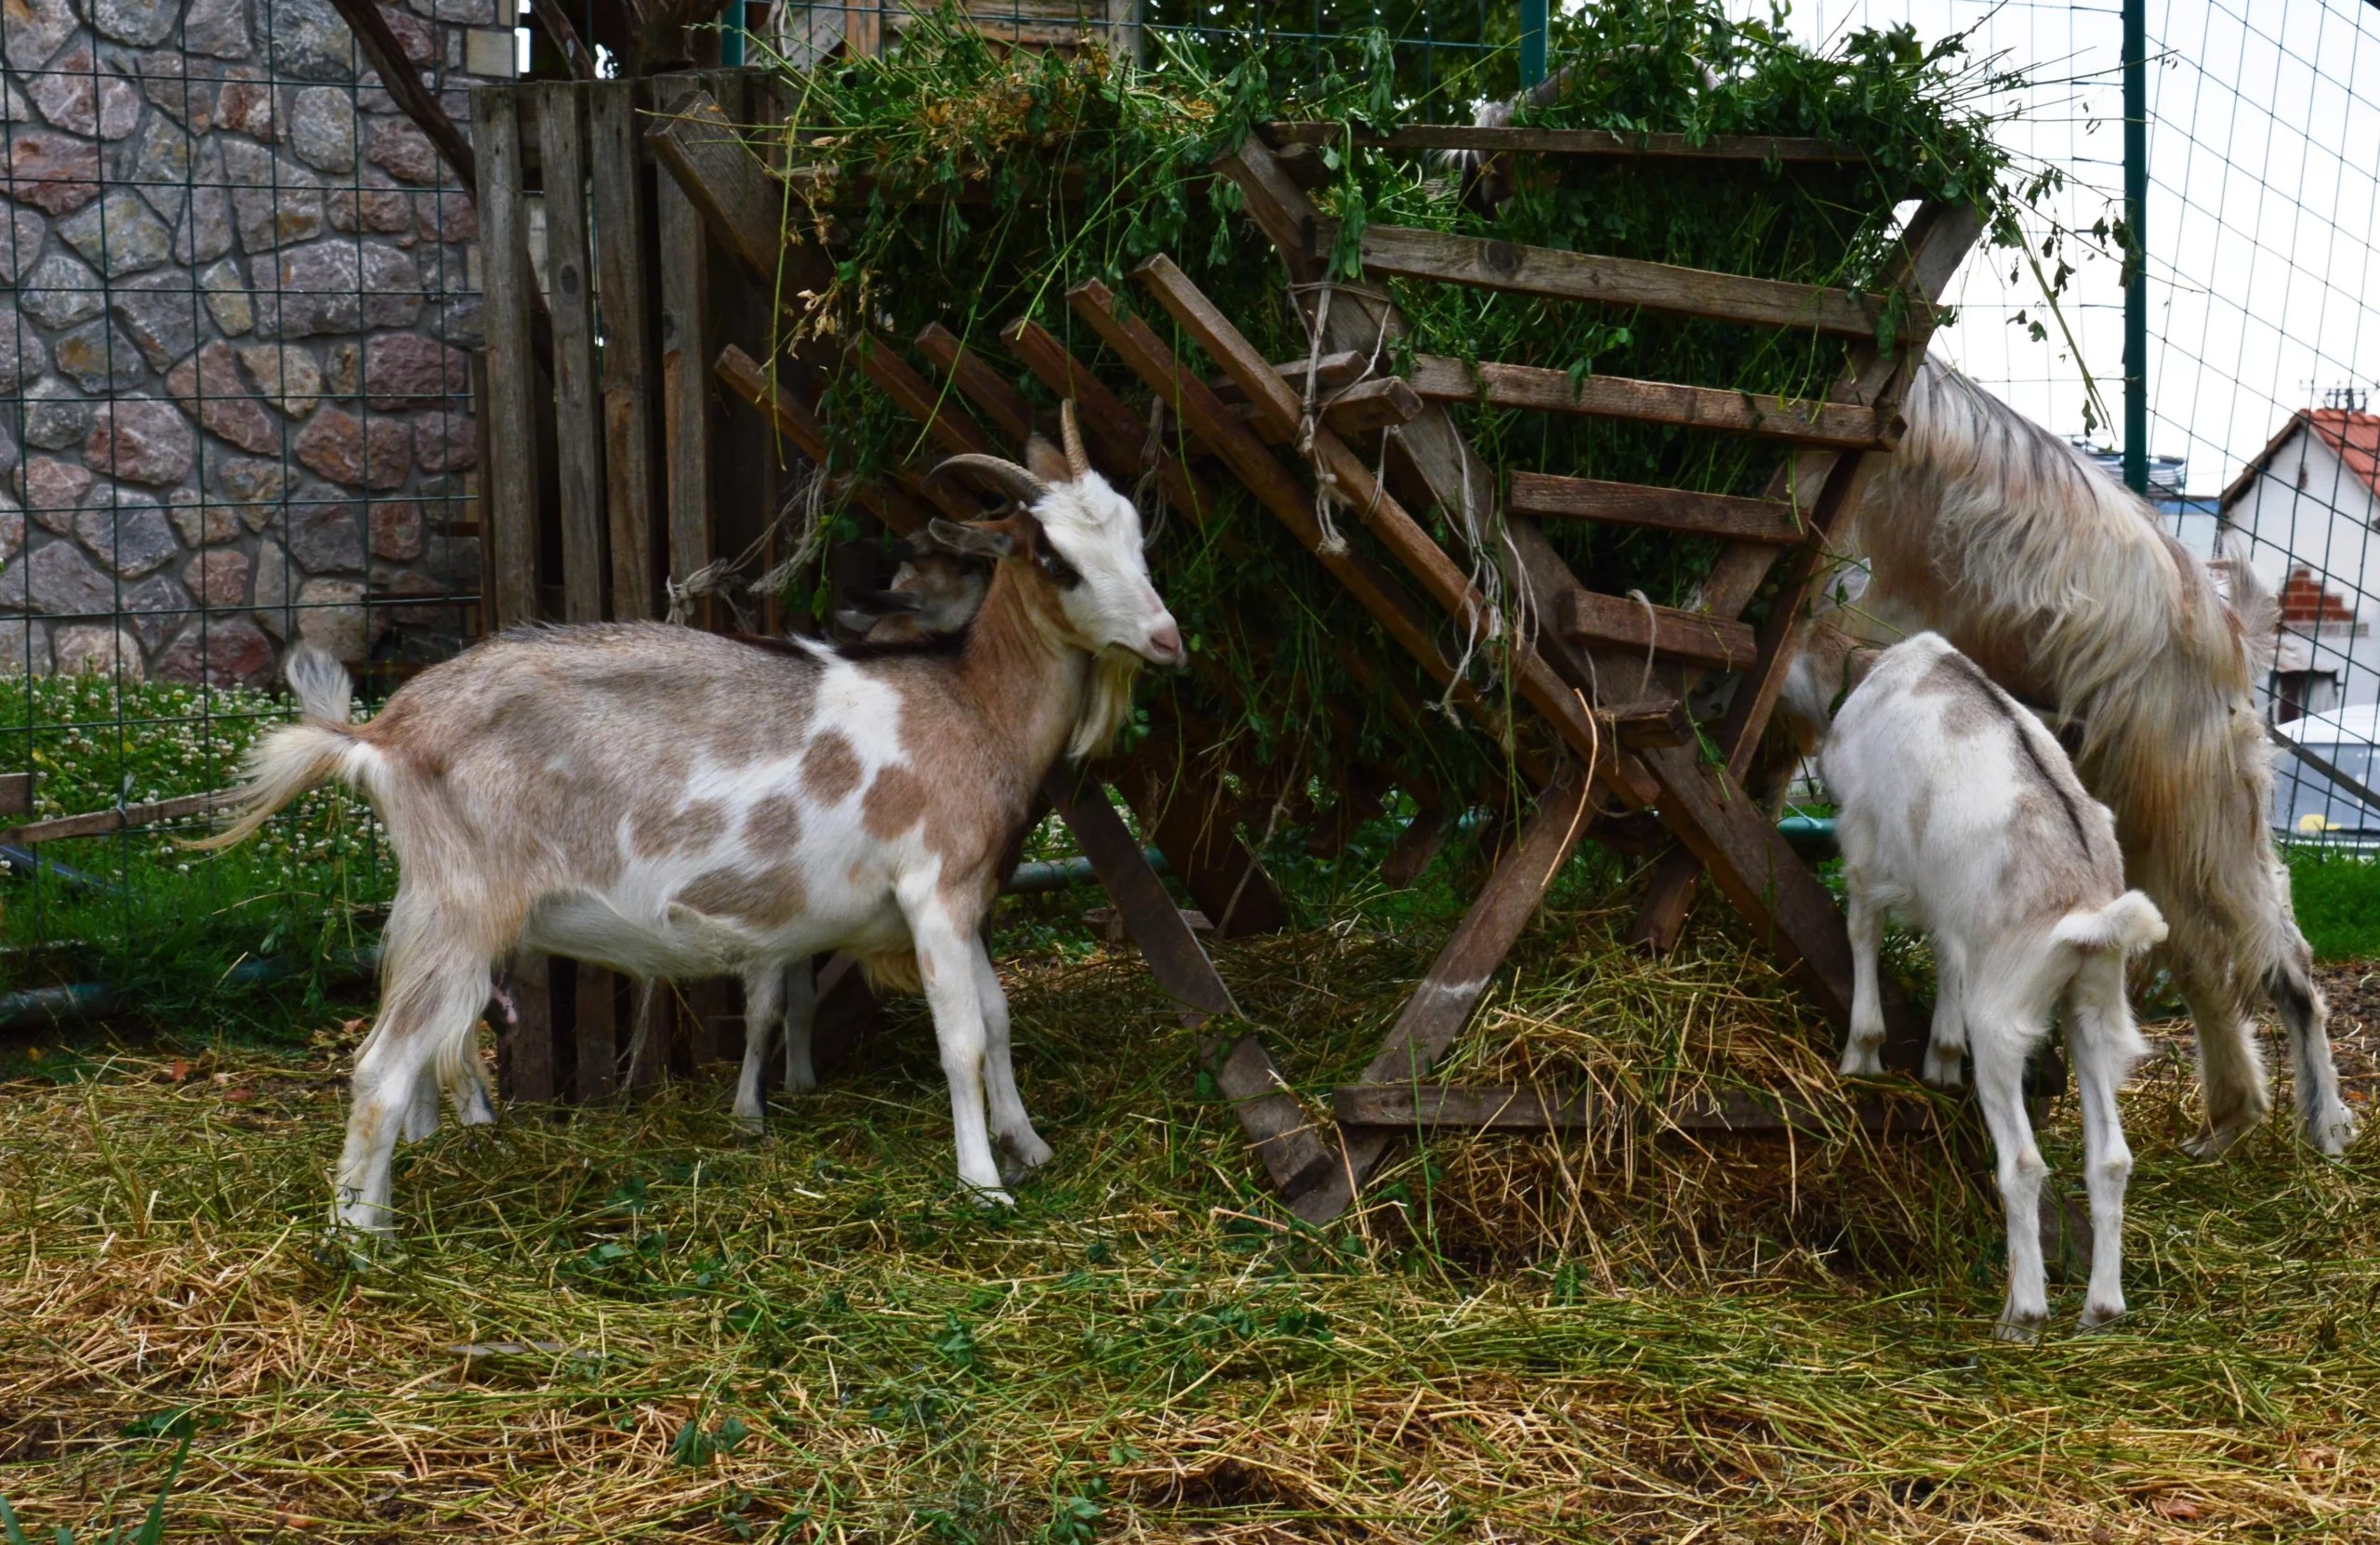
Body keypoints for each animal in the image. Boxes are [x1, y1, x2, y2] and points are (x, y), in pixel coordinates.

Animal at [201, 405, 1183, 1233]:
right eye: (1055, 558)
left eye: (1138, 535)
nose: (1168, 640)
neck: (971, 707)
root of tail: (382, 735)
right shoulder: (932, 890)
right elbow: (963, 1037)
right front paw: (982, 1184)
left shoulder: (966, 896)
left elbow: (1000, 1014)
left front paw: (1031, 1147)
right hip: (464, 904)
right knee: (379, 1066)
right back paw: (364, 1243)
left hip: (435, 907)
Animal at [1818, 632, 2167, 1334]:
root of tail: (2089, 912)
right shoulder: (1956, 914)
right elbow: (1947, 956)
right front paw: (1941, 1060)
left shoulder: (1864, 840)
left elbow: (1864, 926)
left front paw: (1861, 1054)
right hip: (2093, 1008)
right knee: (2111, 1158)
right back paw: (2100, 1310)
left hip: (2005, 1019)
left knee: (2024, 1163)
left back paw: (2022, 1315)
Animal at [1842, 357, 2355, 1158]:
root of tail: (2232, 634)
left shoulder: (1879, 596)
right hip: (2146, 817)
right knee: (2204, 958)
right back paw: (2229, 1121)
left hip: (2193, 809)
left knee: (2277, 957)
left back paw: (2323, 1123)